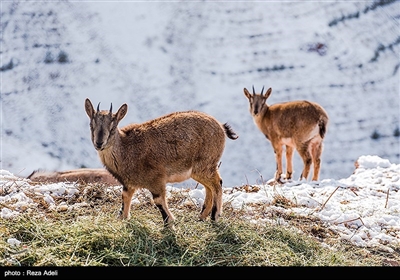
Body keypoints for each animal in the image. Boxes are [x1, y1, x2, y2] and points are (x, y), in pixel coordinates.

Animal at [84, 98, 238, 225]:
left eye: (112, 127)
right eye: (91, 126)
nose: (99, 143)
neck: (126, 149)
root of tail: (221, 127)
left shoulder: (155, 178)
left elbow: (158, 200)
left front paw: (169, 222)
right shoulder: (129, 183)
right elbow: (125, 197)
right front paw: (122, 217)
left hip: (205, 165)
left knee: (217, 184)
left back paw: (214, 216)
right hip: (199, 170)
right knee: (209, 187)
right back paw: (202, 216)